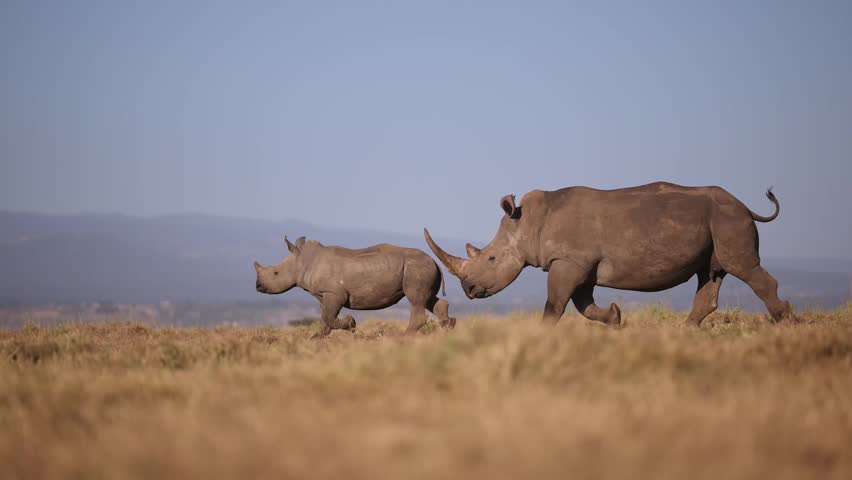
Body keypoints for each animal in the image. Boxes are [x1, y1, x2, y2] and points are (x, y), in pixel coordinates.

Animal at [254, 236, 456, 336]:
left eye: (275, 273)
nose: (257, 286)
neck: (303, 260)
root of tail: (434, 261)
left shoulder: (334, 293)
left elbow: (329, 318)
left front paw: (351, 324)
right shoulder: (324, 294)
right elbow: (324, 320)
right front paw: (315, 340)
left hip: (416, 268)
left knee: (415, 299)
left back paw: (403, 337)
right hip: (422, 268)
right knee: (427, 299)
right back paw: (448, 327)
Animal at [424, 182, 796, 326]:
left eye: (490, 259)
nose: (469, 290)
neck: (527, 223)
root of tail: (744, 205)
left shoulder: (568, 261)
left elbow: (555, 305)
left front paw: (541, 334)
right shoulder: (579, 264)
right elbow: (583, 305)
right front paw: (615, 318)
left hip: (728, 219)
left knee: (743, 267)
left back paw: (785, 321)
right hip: (718, 222)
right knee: (711, 273)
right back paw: (684, 331)